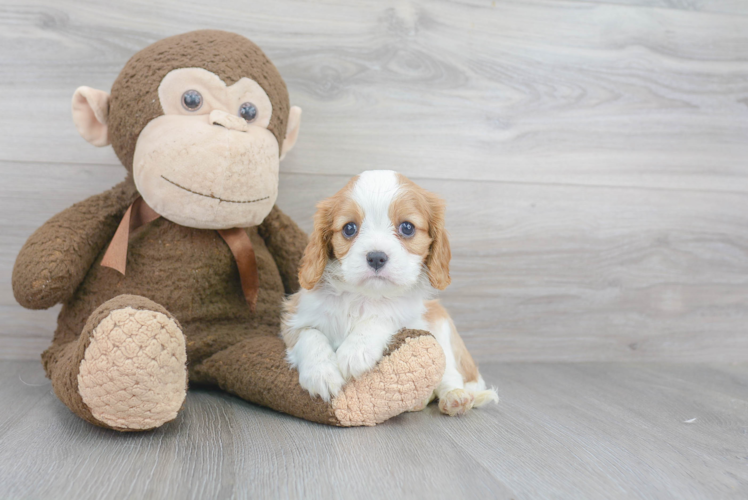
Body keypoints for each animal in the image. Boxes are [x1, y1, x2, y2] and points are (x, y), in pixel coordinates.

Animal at [280, 170, 496, 416]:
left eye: (407, 227)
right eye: (349, 228)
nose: (376, 257)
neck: (364, 296)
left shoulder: (410, 316)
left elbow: (384, 316)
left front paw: (355, 350)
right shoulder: (295, 316)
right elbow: (309, 336)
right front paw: (321, 373)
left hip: (441, 327)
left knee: (449, 372)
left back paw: (455, 397)